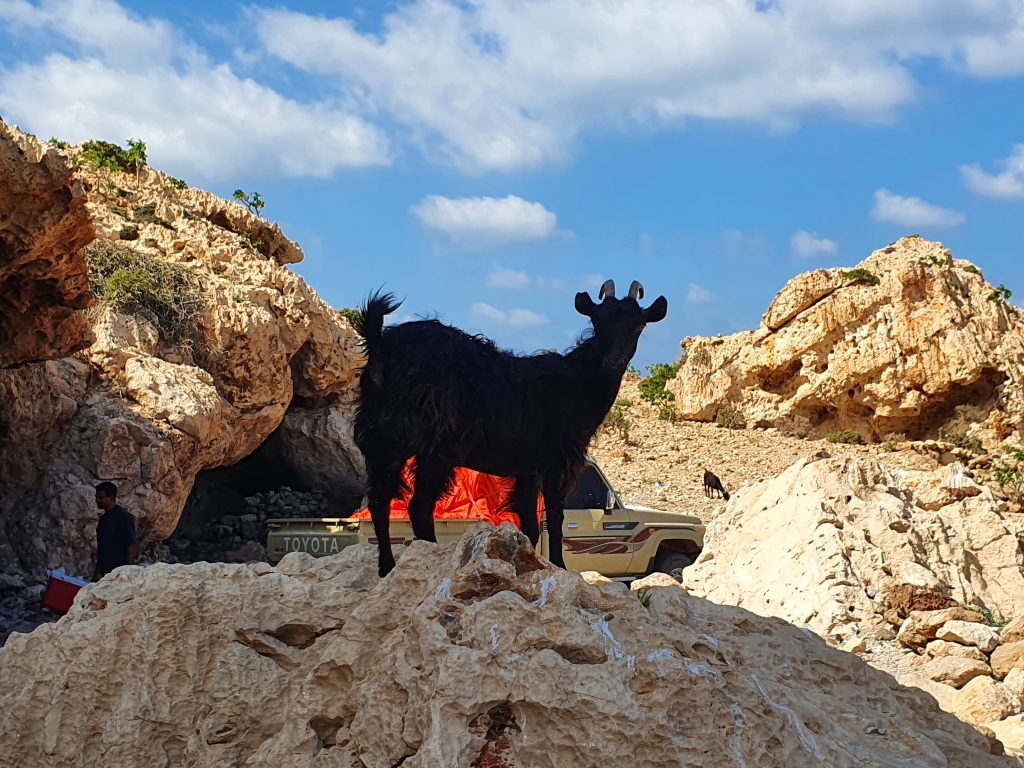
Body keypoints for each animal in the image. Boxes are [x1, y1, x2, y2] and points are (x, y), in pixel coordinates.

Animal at [354, 280, 668, 576]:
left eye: (639, 325)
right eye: (598, 322)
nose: (613, 362)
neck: (578, 383)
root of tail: (382, 345)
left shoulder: (529, 469)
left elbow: (530, 524)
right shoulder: (558, 460)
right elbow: (555, 517)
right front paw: (559, 565)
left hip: (383, 441)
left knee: (380, 501)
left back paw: (387, 567)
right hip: (429, 447)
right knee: (418, 506)